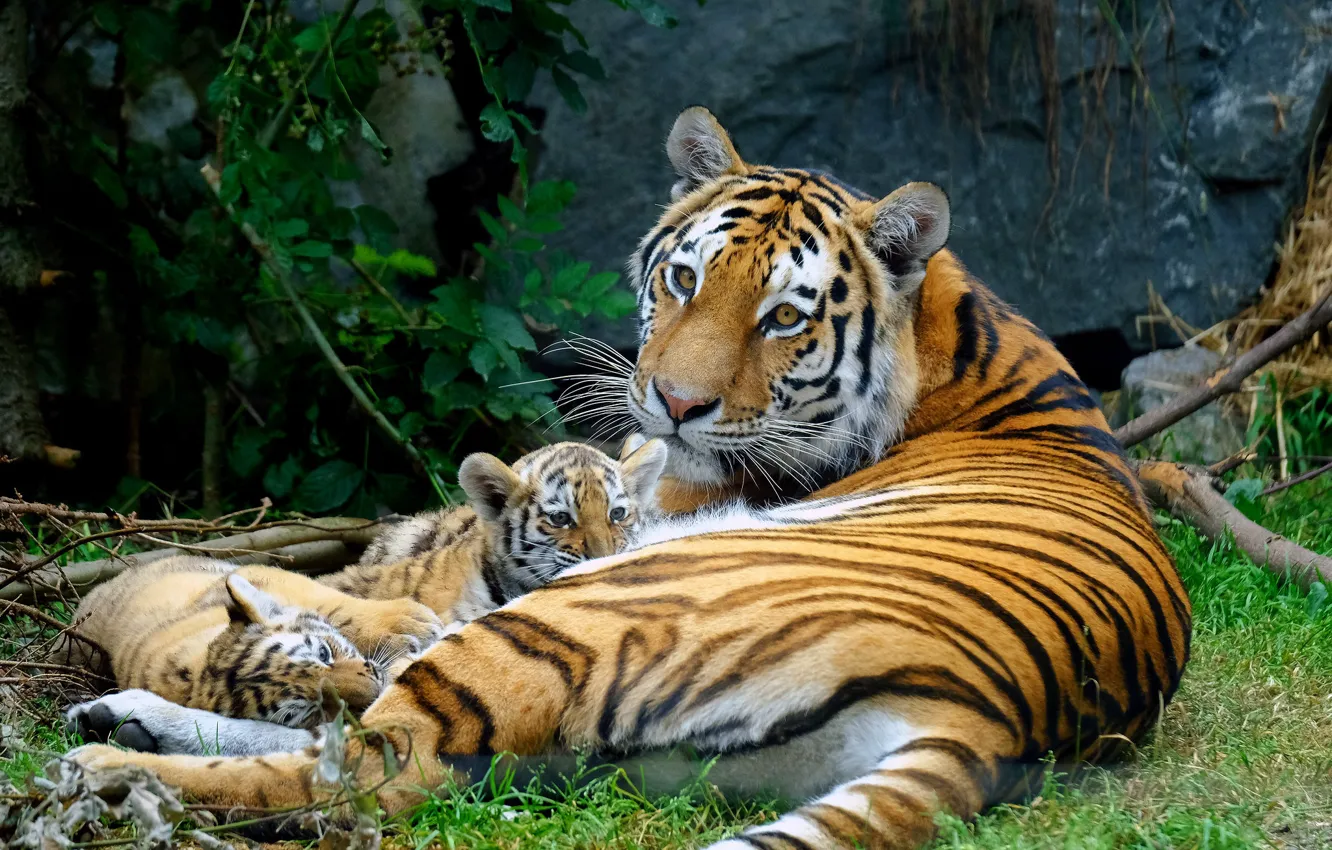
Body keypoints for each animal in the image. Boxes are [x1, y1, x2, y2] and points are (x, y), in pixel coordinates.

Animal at [63, 555, 444, 747]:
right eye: (307, 710)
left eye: (324, 654)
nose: (375, 691)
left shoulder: (269, 578)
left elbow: (334, 603)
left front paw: (411, 621)